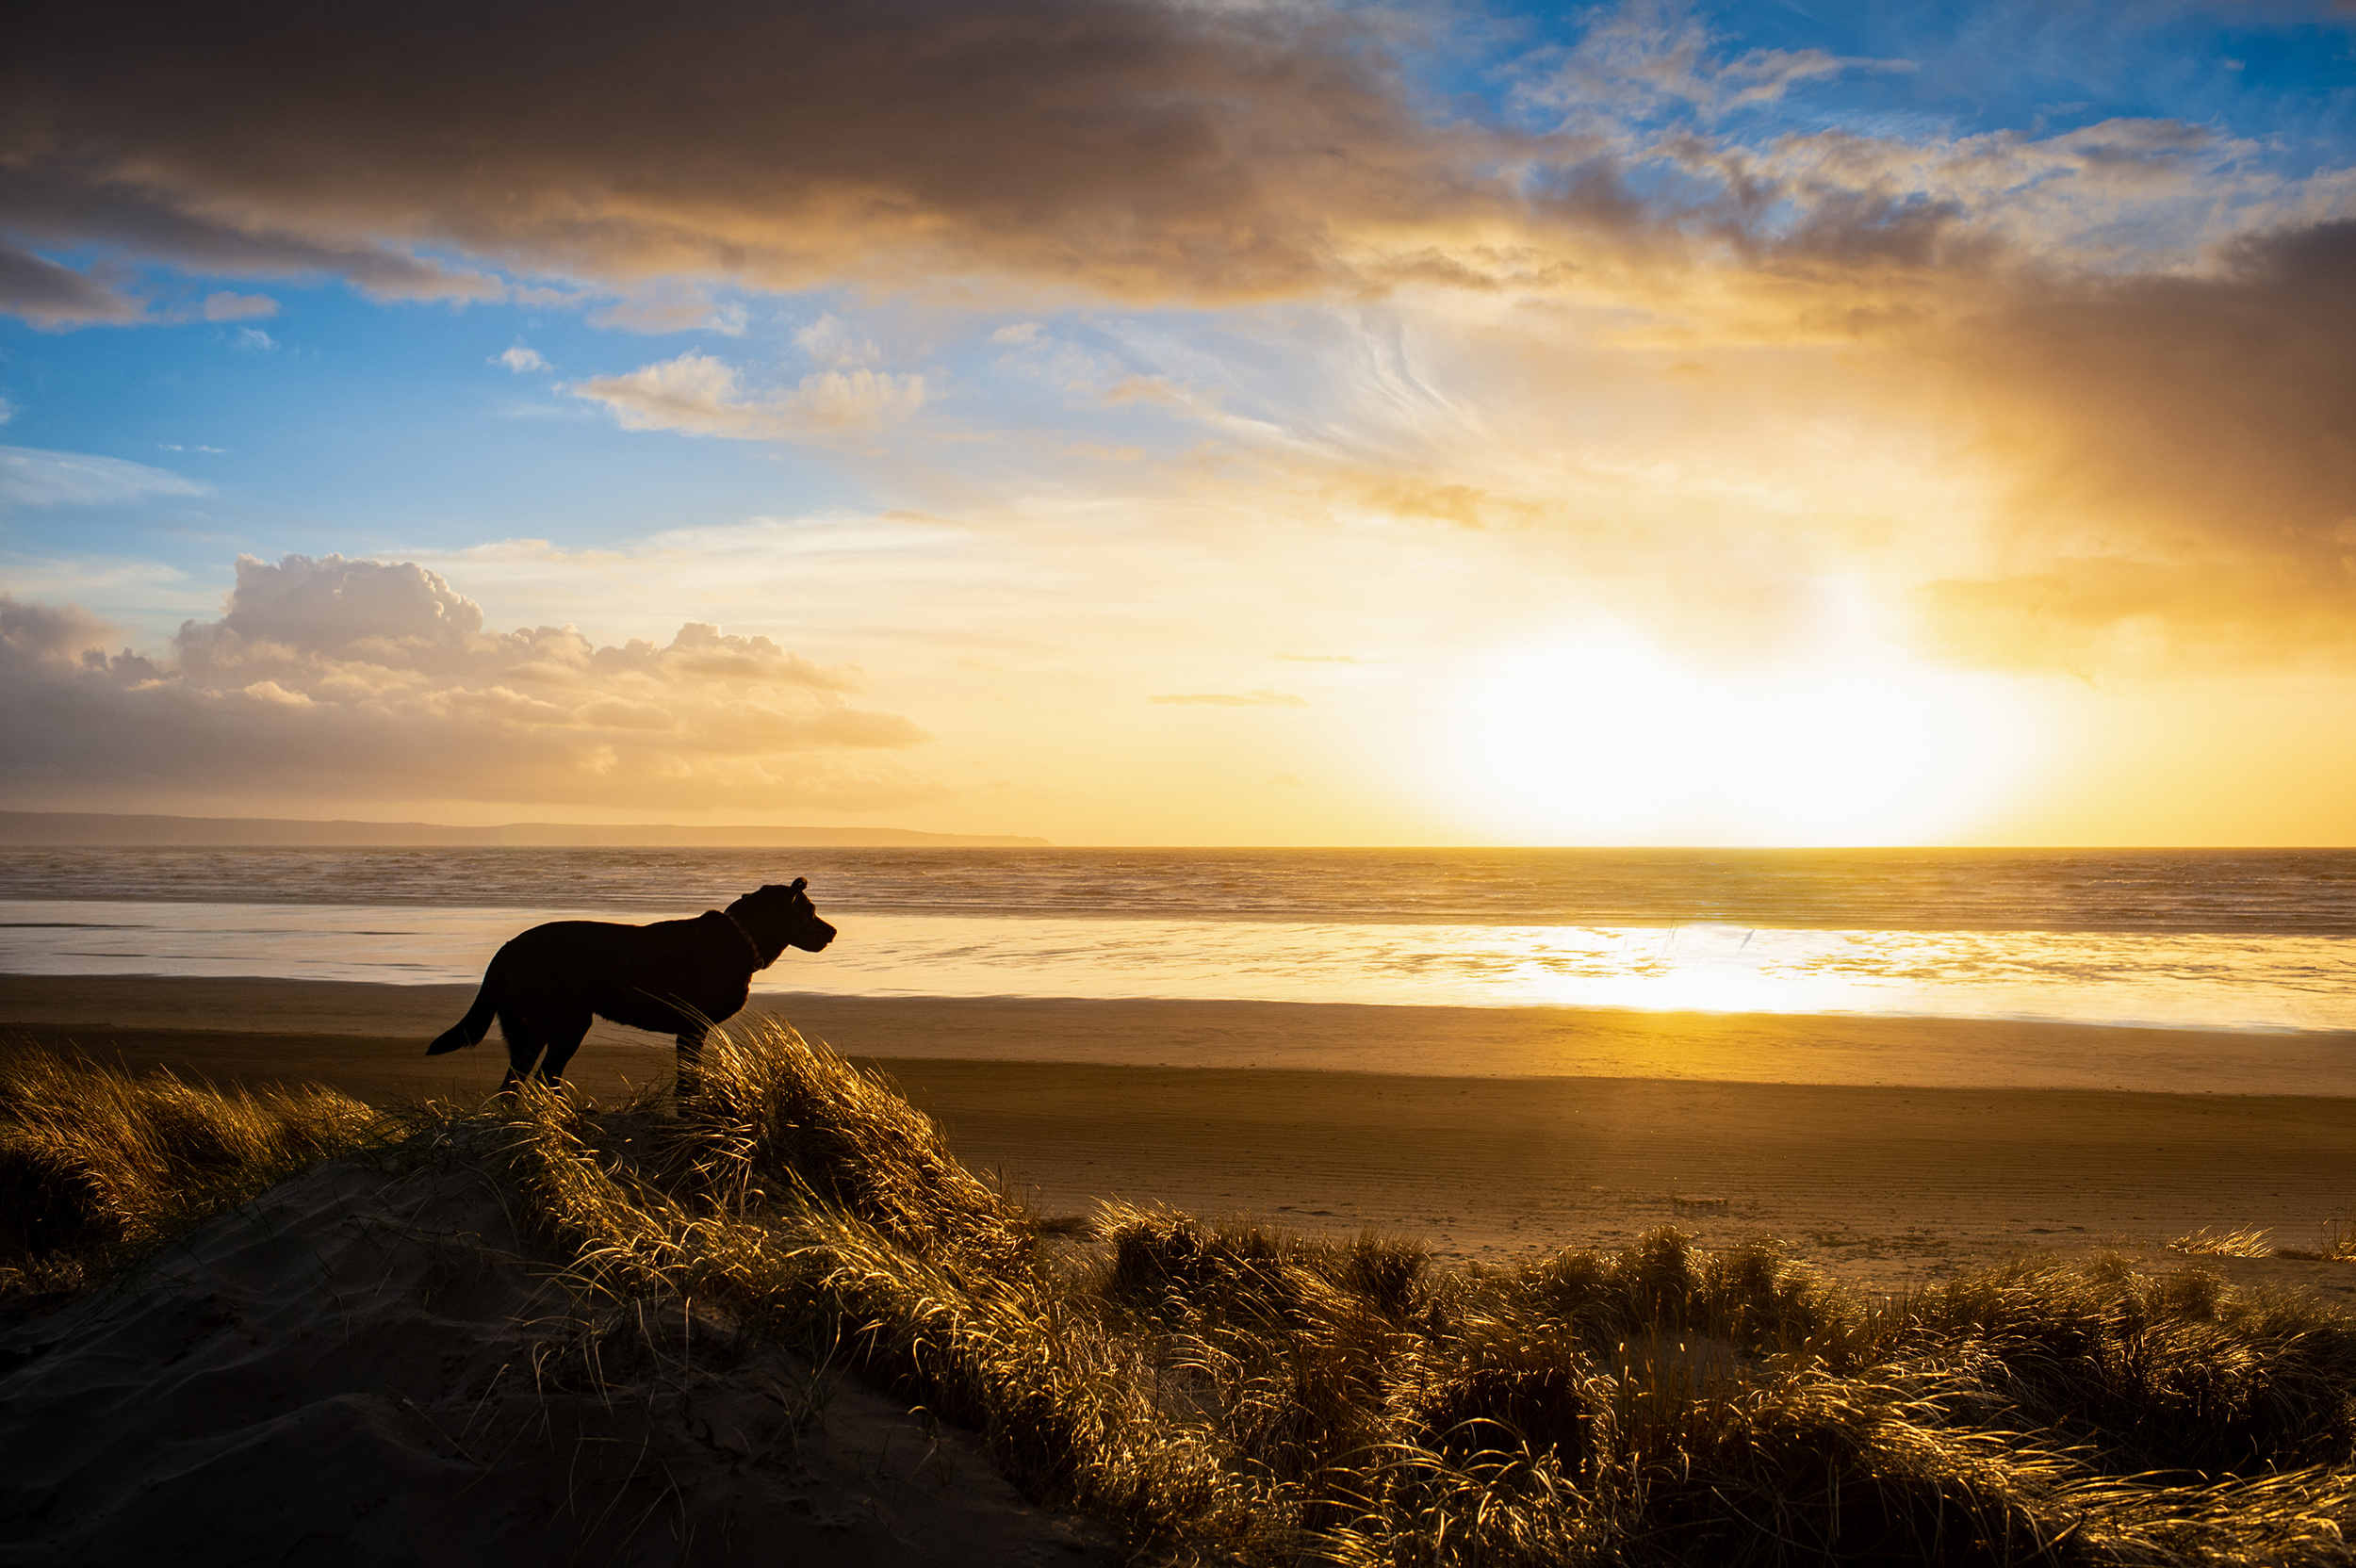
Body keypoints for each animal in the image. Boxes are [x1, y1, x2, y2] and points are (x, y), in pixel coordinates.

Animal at [424, 880, 839, 1087]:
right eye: (811, 911)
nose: (833, 932)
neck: (740, 937)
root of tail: (508, 947)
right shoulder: (692, 1030)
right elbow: (688, 1084)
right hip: (567, 1025)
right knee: (544, 1079)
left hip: (530, 1032)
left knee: (514, 1087)